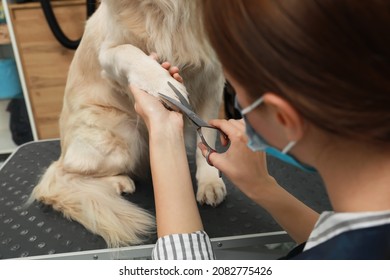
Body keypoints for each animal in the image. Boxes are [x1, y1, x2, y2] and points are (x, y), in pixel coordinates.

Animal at [27, 0, 225, 247]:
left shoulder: (213, 78)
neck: (165, 8)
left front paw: (209, 182)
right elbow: (129, 51)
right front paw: (164, 83)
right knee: (62, 174)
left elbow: (206, 140)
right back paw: (120, 182)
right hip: (124, 139)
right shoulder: (109, 52)